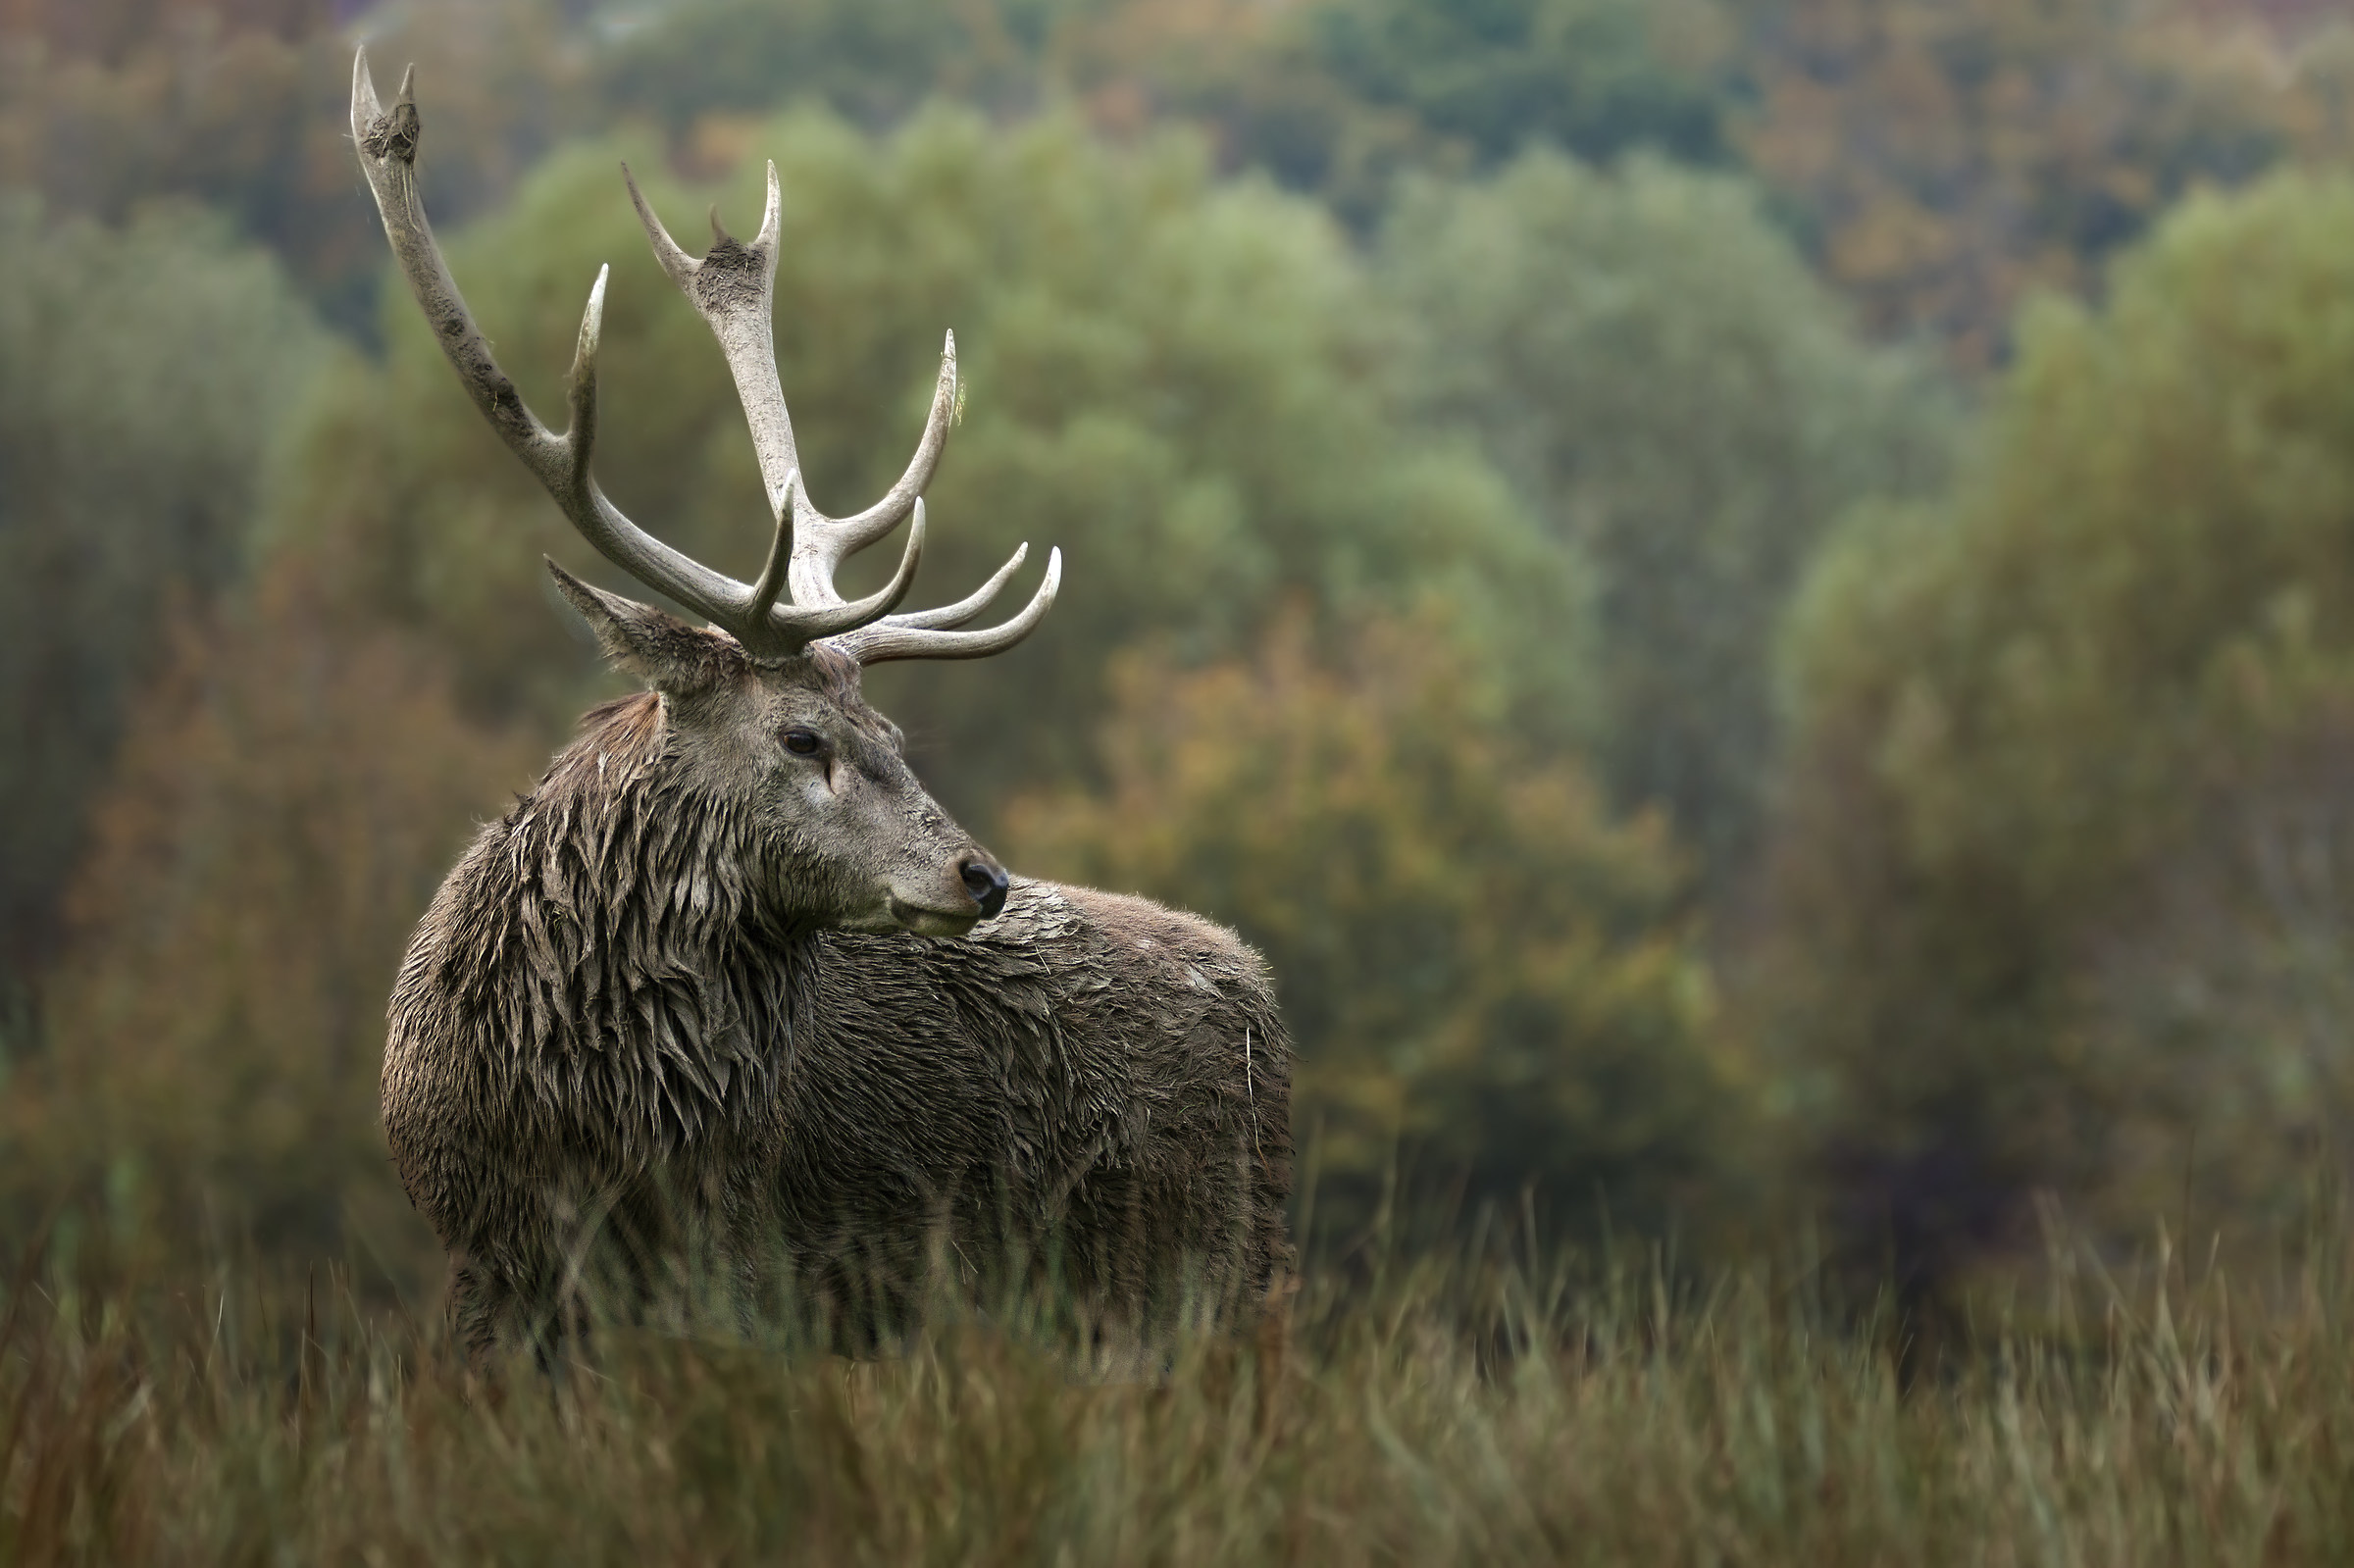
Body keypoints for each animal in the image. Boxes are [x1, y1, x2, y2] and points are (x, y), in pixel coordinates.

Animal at [350, 52, 1293, 1366]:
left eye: (894, 735)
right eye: (805, 736)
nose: (980, 877)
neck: (581, 1118)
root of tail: (1262, 1002)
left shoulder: (750, 1248)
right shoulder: (482, 1257)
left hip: (1201, 1266)